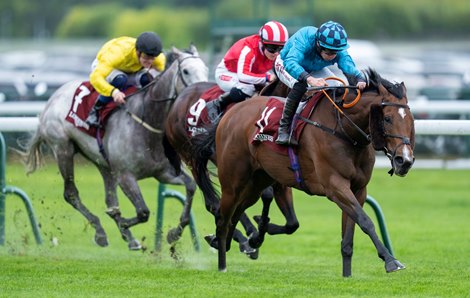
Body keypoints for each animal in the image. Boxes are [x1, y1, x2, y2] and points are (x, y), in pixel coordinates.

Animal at [22, 44, 208, 249]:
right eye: (186, 71)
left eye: (206, 70)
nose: (202, 97)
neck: (147, 123)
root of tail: (51, 100)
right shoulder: (126, 176)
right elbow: (143, 212)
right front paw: (122, 222)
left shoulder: (164, 172)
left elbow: (191, 187)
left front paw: (174, 233)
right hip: (63, 149)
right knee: (71, 194)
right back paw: (101, 232)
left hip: (104, 164)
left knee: (109, 198)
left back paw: (127, 236)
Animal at [163, 81, 300, 258]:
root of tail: (177, 101)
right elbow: (266, 196)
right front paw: (256, 234)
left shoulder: (279, 180)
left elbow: (292, 223)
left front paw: (259, 232)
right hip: (192, 157)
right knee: (213, 203)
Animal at [193, 68, 414, 276]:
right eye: (387, 118)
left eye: (411, 120)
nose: (404, 160)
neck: (345, 132)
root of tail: (228, 115)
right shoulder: (335, 186)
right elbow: (366, 221)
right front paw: (391, 261)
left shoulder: (358, 190)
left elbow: (348, 238)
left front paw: (347, 275)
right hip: (233, 182)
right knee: (223, 218)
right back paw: (222, 263)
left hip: (255, 184)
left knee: (236, 213)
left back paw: (238, 242)